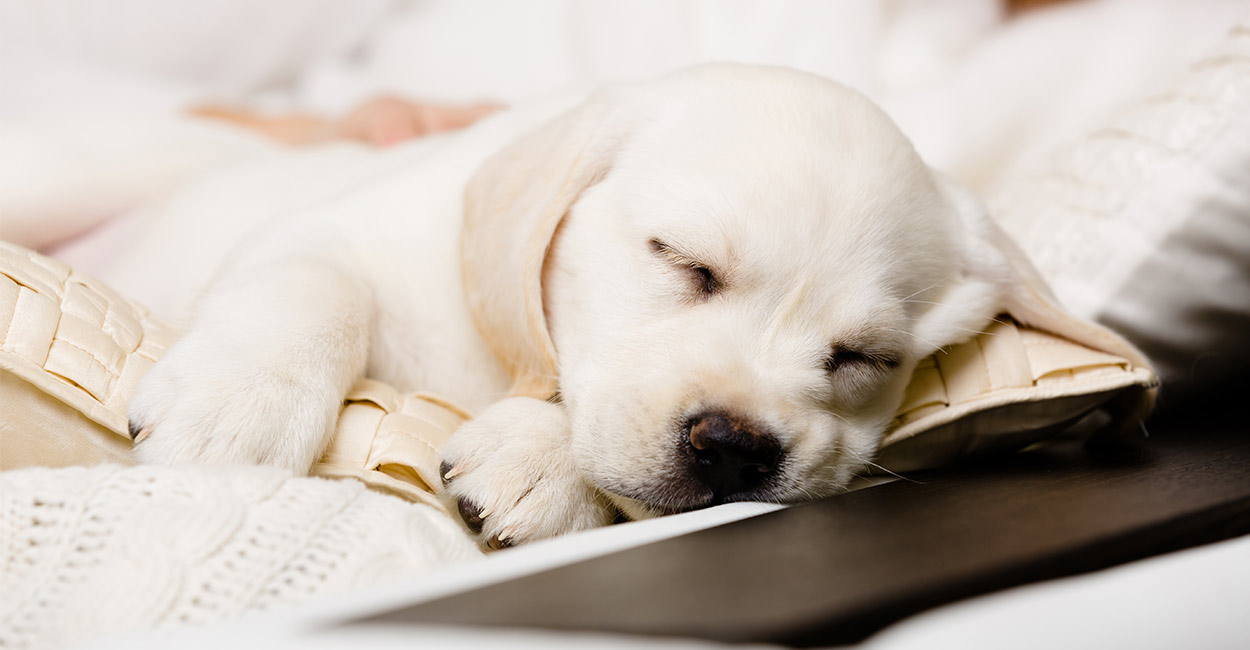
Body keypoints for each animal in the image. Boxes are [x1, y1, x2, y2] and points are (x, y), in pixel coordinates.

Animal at [129, 63, 1135, 547]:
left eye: (864, 358)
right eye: (683, 263)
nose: (735, 449)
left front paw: (543, 462)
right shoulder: (338, 228)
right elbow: (314, 283)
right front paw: (239, 408)